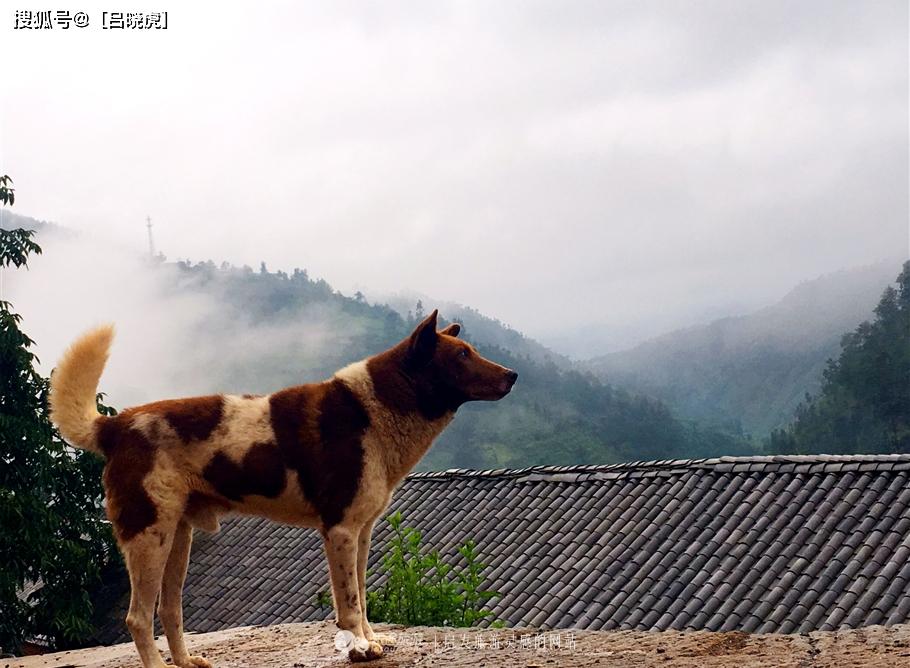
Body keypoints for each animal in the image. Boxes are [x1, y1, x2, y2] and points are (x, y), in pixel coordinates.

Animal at [50, 310, 516, 664]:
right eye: (462, 355)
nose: (513, 374)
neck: (374, 408)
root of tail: (116, 426)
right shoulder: (340, 531)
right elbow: (349, 602)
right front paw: (359, 647)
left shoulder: (362, 532)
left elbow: (362, 595)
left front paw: (371, 640)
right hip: (148, 537)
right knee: (138, 618)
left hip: (177, 538)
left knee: (168, 608)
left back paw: (185, 661)